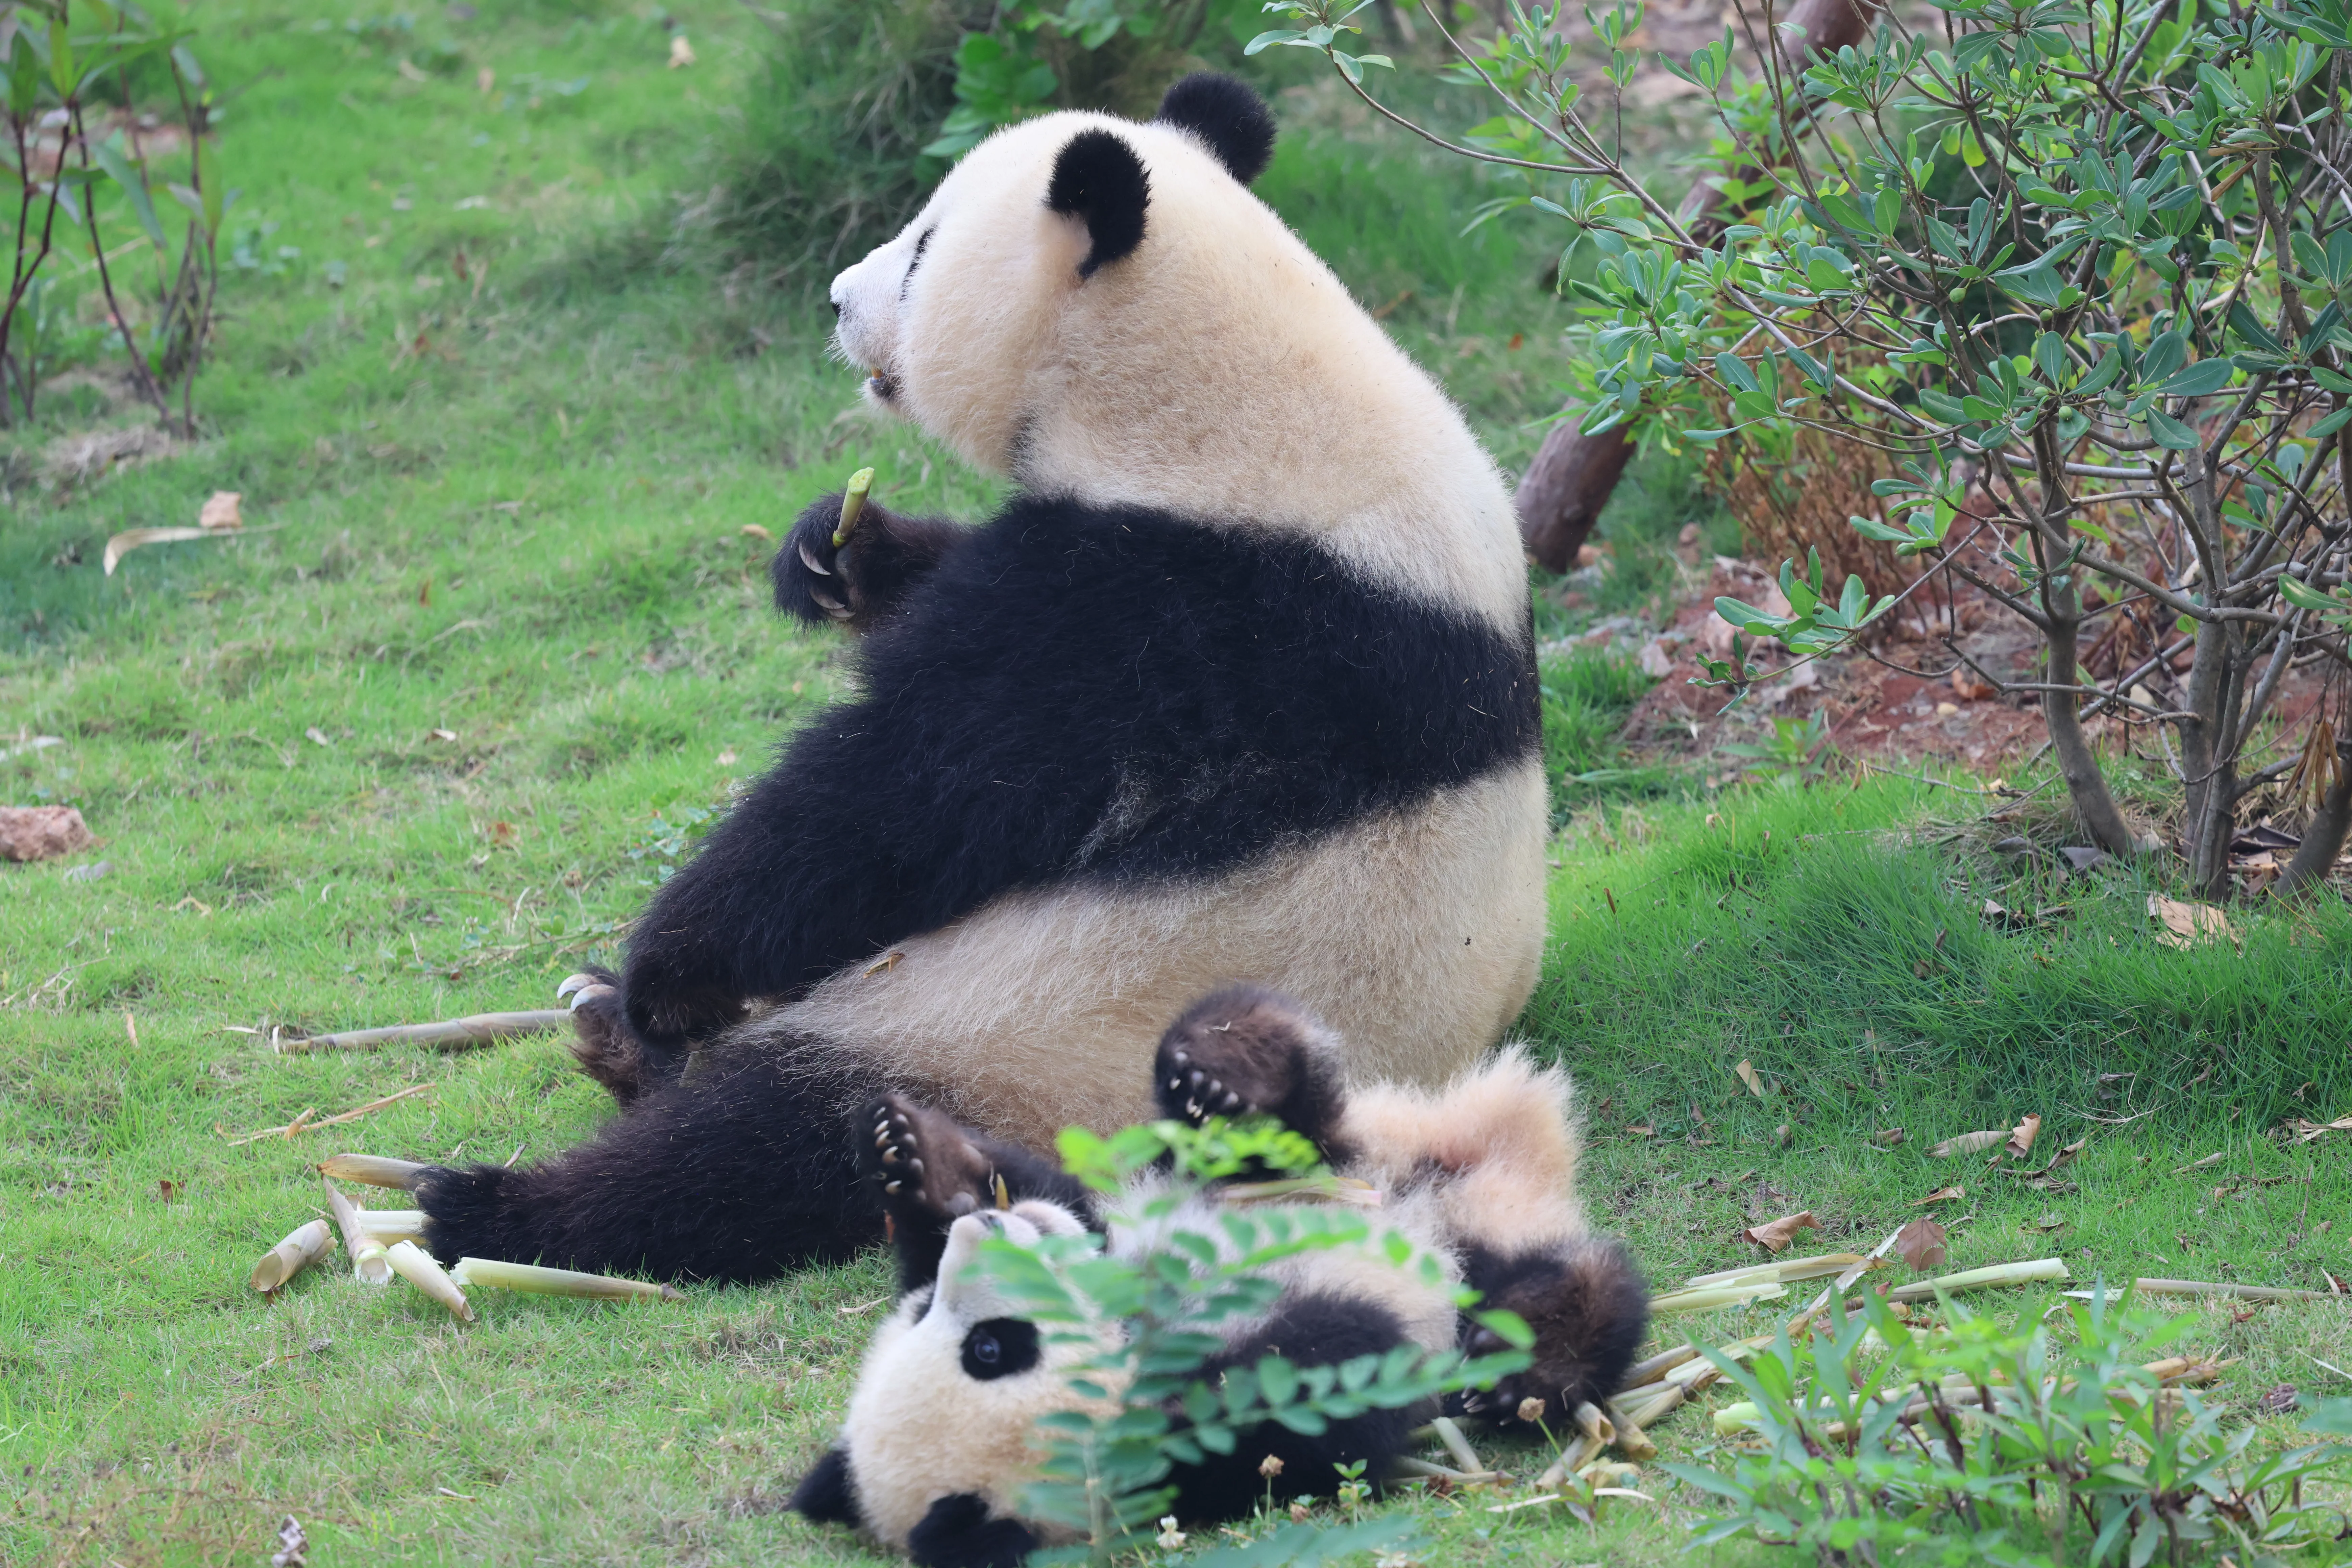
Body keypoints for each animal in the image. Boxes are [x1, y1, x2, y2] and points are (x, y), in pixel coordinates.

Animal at [414, 73, 1547, 1282]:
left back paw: (498, 1200)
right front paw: (836, 552)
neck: (1238, 389)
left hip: (1009, 1047)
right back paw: (601, 1040)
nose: (833, 298)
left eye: (920, 249)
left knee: (768, 1147)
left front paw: (669, 969)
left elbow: (913, 795)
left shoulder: (1195, 612)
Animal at [787, 987, 1649, 1568]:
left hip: (1297, 1163)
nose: (986, 1234)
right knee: (1555, 1281)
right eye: (992, 1349)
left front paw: (919, 1159)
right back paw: (1529, 1370)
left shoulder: (1114, 1232)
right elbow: (1338, 1373)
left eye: (931, 1310)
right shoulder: (1225, 1453)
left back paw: (1226, 1067)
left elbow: (1057, 1196)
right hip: (1476, 1243)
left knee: (1276, 1124)